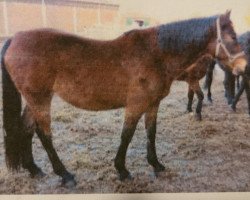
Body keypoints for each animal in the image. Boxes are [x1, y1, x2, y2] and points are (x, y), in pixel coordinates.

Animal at [0, 10, 247, 187]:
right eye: (233, 36)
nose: (244, 67)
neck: (156, 53)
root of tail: (14, 38)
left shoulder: (152, 104)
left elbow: (151, 133)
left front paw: (156, 164)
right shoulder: (135, 104)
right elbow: (127, 135)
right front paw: (122, 170)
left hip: (35, 99)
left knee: (27, 129)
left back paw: (34, 169)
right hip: (40, 99)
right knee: (44, 134)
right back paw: (65, 174)